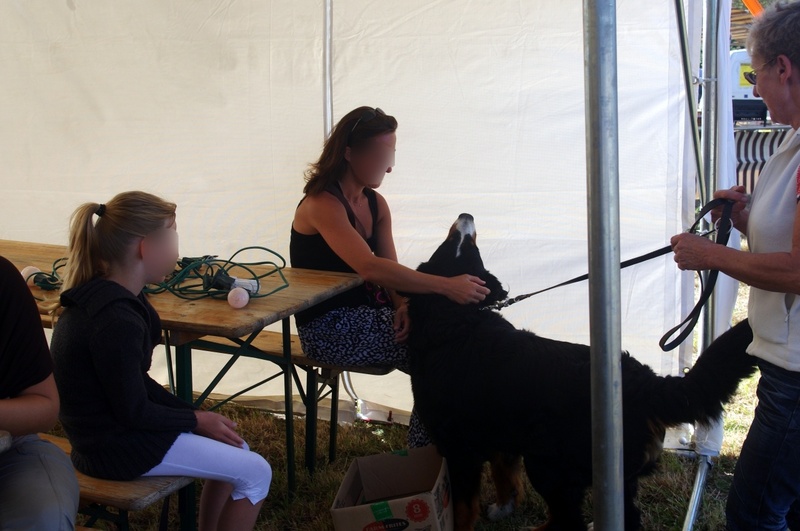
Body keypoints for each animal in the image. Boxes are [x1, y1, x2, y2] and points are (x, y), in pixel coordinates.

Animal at [406, 214, 756, 528]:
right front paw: (504, 507)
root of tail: (643, 381)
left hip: (548, 463)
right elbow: (504, 474)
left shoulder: (458, 448)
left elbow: (463, 510)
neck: (456, 319)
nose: (466, 216)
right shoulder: (500, 431)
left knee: (566, 521)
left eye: (461, 244)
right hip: (614, 478)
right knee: (627, 518)